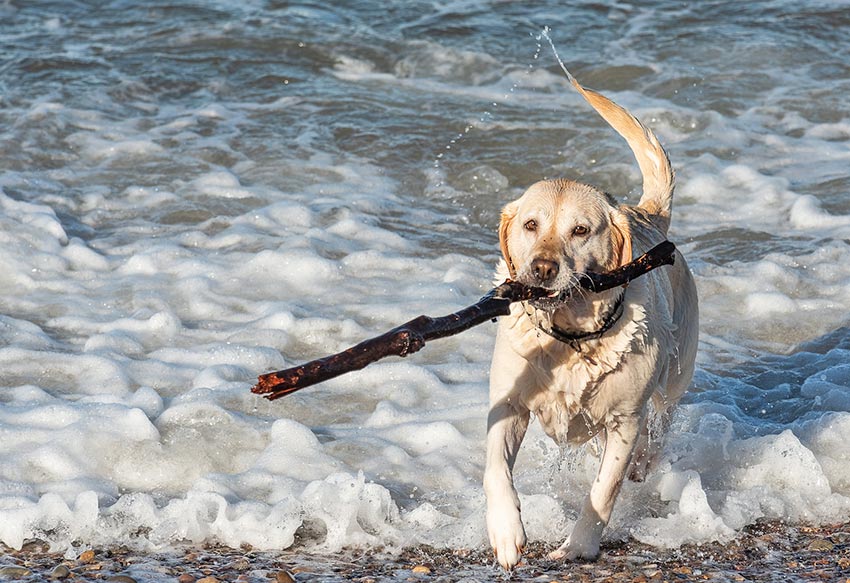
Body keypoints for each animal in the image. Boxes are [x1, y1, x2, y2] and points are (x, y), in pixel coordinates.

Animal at [484, 73, 696, 572]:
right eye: (530, 224)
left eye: (581, 230)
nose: (542, 268)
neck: (571, 339)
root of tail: (645, 214)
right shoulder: (508, 404)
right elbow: (495, 470)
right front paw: (506, 532)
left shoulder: (624, 421)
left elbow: (603, 491)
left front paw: (577, 546)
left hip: (675, 375)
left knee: (661, 424)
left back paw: (643, 462)